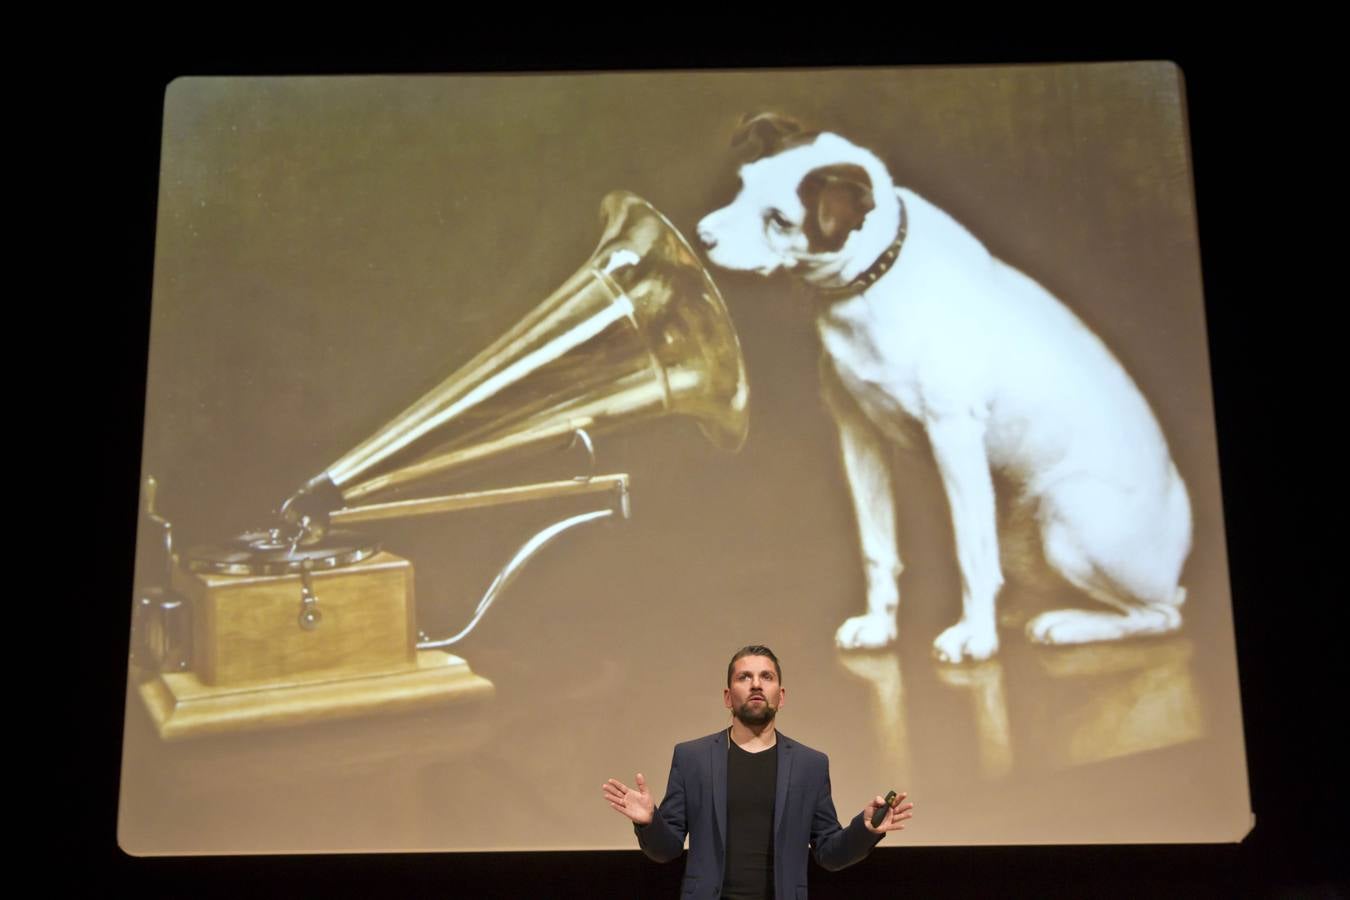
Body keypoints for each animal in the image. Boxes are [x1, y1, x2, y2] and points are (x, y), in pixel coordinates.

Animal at [696, 114, 1193, 661]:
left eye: (780, 219)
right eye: (742, 185)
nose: (702, 237)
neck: (875, 281)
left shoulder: (953, 436)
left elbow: (969, 553)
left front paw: (974, 636)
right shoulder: (857, 433)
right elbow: (877, 546)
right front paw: (879, 626)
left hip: (1068, 517)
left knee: (1161, 615)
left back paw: (1065, 625)